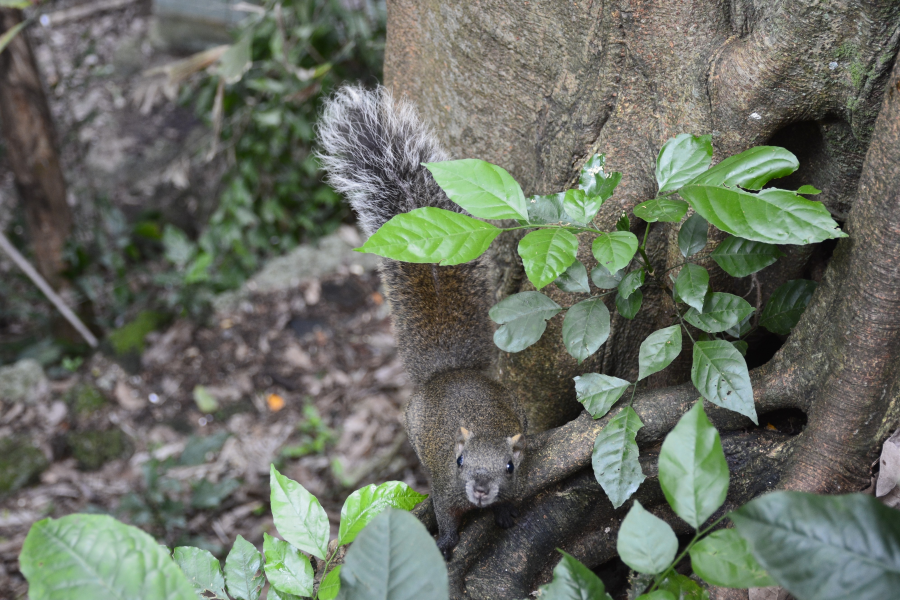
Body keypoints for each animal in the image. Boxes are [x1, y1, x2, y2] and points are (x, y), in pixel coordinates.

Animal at [316, 84, 528, 556]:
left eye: (508, 467)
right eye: (459, 461)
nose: (482, 489)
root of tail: (449, 371)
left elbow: (515, 499)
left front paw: (505, 513)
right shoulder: (445, 488)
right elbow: (446, 516)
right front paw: (446, 543)